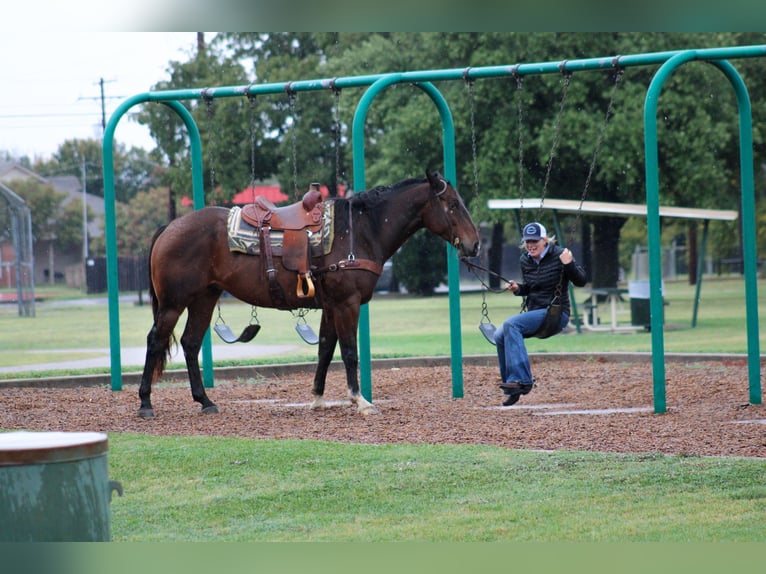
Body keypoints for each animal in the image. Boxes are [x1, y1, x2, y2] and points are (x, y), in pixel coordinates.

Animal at [135, 170, 476, 418]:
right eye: (453, 205)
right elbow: (349, 352)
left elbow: (325, 349)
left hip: (205, 298)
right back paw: (145, 403)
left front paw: (318, 399)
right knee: (155, 340)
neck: (361, 231)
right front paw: (360, 401)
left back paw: (205, 401)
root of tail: (170, 227)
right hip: (173, 303)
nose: (474, 244)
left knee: (191, 344)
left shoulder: (331, 307)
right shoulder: (347, 304)